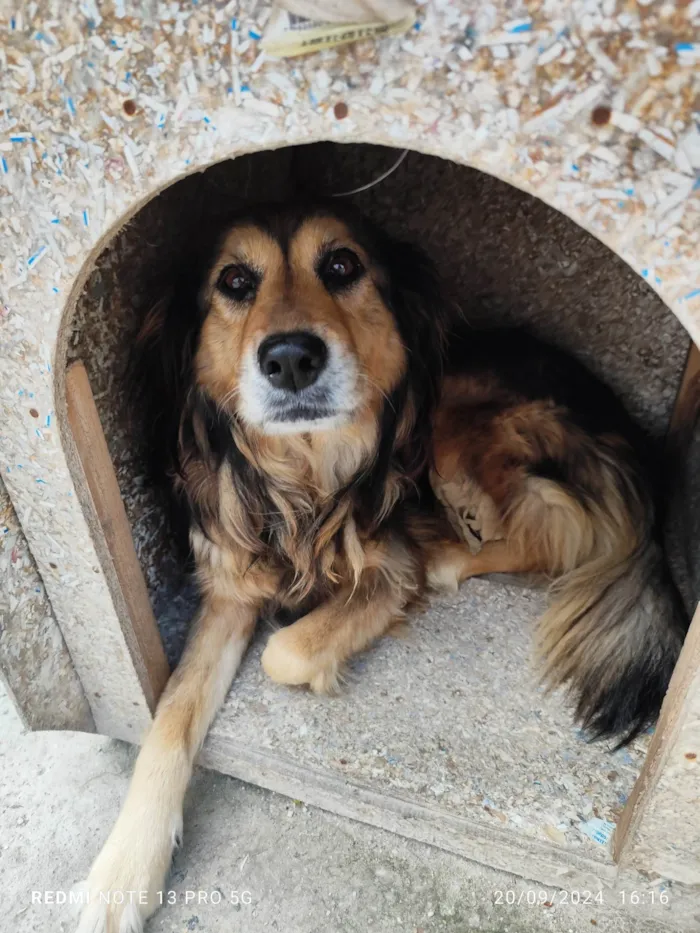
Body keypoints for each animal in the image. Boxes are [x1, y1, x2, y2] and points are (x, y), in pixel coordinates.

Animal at [74, 204, 688, 932]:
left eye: (342, 264)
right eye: (234, 280)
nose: (290, 358)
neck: (304, 475)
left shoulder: (388, 570)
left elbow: (286, 653)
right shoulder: (229, 587)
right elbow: (169, 719)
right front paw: (120, 873)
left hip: (460, 416)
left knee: (565, 531)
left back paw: (453, 551)